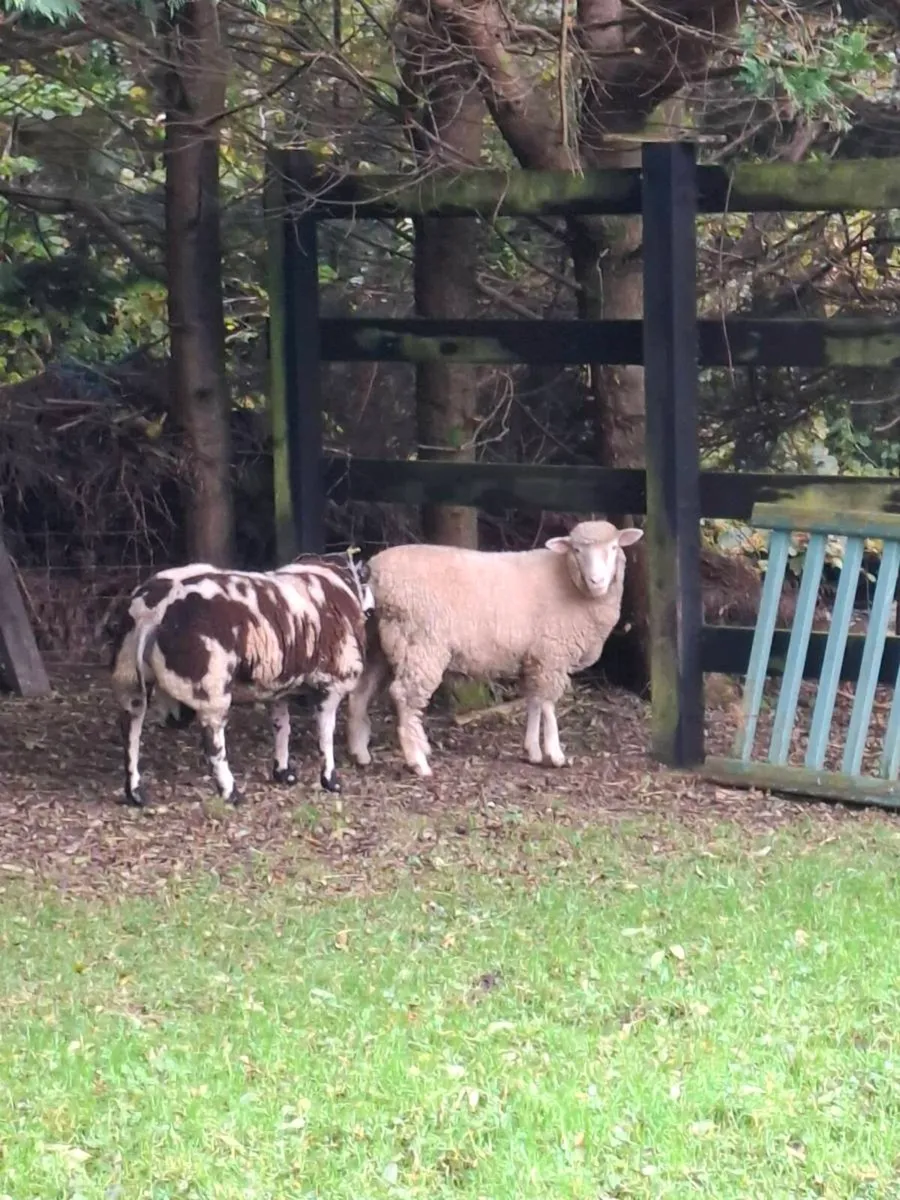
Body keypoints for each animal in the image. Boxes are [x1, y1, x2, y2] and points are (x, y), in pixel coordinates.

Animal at [110, 551, 374, 806]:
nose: (372, 610)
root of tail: (153, 610)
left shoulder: (278, 687)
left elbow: (282, 726)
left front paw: (283, 772)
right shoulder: (334, 681)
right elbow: (326, 733)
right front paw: (330, 780)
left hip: (128, 676)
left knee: (131, 728)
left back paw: (135, 792)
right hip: (211, 685)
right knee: (214, 743)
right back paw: (230, 791)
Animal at [346, 521, 643, 777]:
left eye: (614, 548)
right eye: (577, 550)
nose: (597, 581)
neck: (569, 582)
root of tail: (375, 573)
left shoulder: (534, 656)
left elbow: (534, 701)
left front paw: (532, 750)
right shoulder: (551, 654)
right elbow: (548, 704)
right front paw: (555, 753)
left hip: (378, 641)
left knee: (360, 691)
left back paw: (361, 753)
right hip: (420, 642)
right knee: (405, 697)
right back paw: (418, 761)